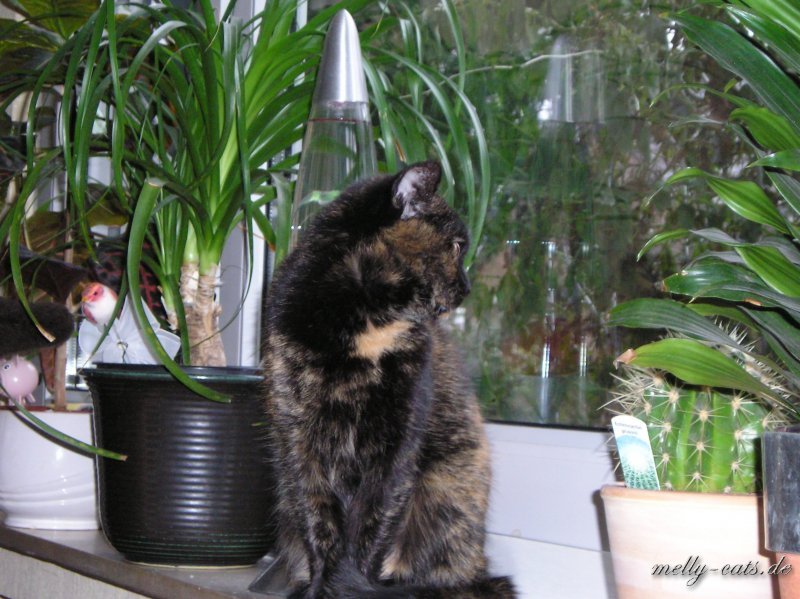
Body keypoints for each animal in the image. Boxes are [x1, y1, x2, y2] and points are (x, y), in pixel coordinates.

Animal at [262, 161, 516, 599]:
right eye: (455, 247)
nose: (467, 287)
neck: (366, 319)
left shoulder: (398, 446)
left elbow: (373, 526)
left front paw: (352, 583)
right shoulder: (299, 440)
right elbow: (320, 524)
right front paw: (322, 586)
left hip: (444, 490)